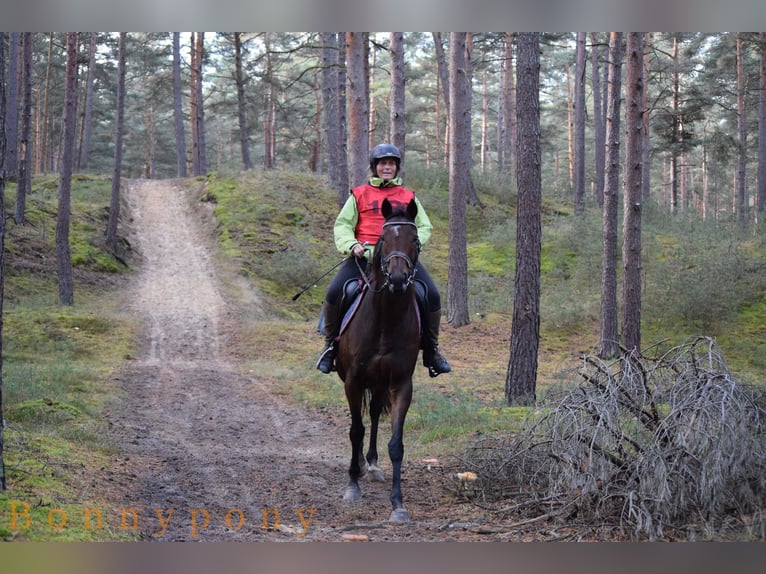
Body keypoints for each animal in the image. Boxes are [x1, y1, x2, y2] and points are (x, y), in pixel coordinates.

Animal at [338, 198, 424, 528]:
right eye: (384, 239)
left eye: (415, 239)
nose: (398, 280)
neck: (386, 319)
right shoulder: (352, 381)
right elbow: (355, 430)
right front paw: (352, 485)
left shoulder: (401, 383)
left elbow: (396, 444)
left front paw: (398, 505)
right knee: (365, 420)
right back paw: (362, 467)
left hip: (379, 382)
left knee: (374, 413)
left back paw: (372, 464)